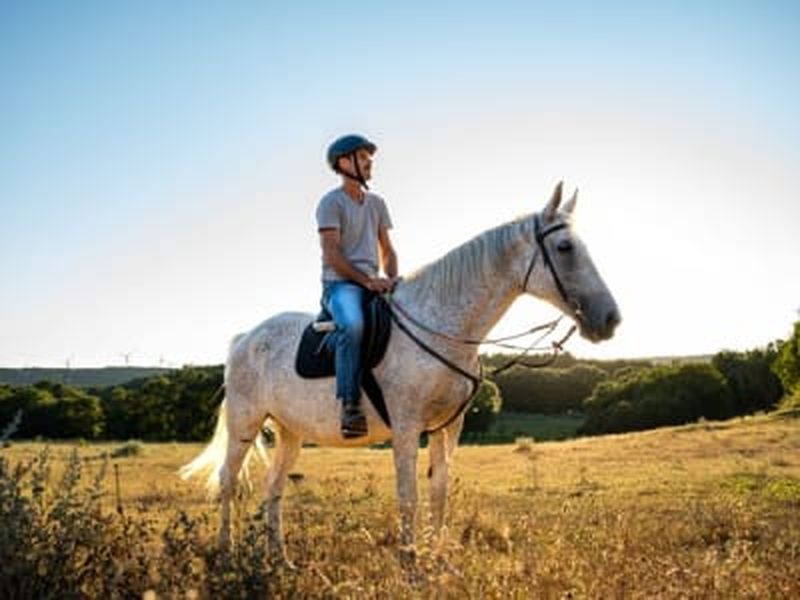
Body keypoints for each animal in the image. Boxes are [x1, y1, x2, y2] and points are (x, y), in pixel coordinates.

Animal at [180, 182, 621, 564]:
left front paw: (439, 560)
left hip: (290, 431)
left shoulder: (448, 427)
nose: (610, 318)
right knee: (228, 481)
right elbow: (408, 495)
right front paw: (411, 565)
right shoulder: (408, 427)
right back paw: (225, 554)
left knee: (273, 487)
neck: (441, 325)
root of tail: (245, 338)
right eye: (564, 247)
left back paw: (281, 560)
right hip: (246, 421)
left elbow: (439, 491)